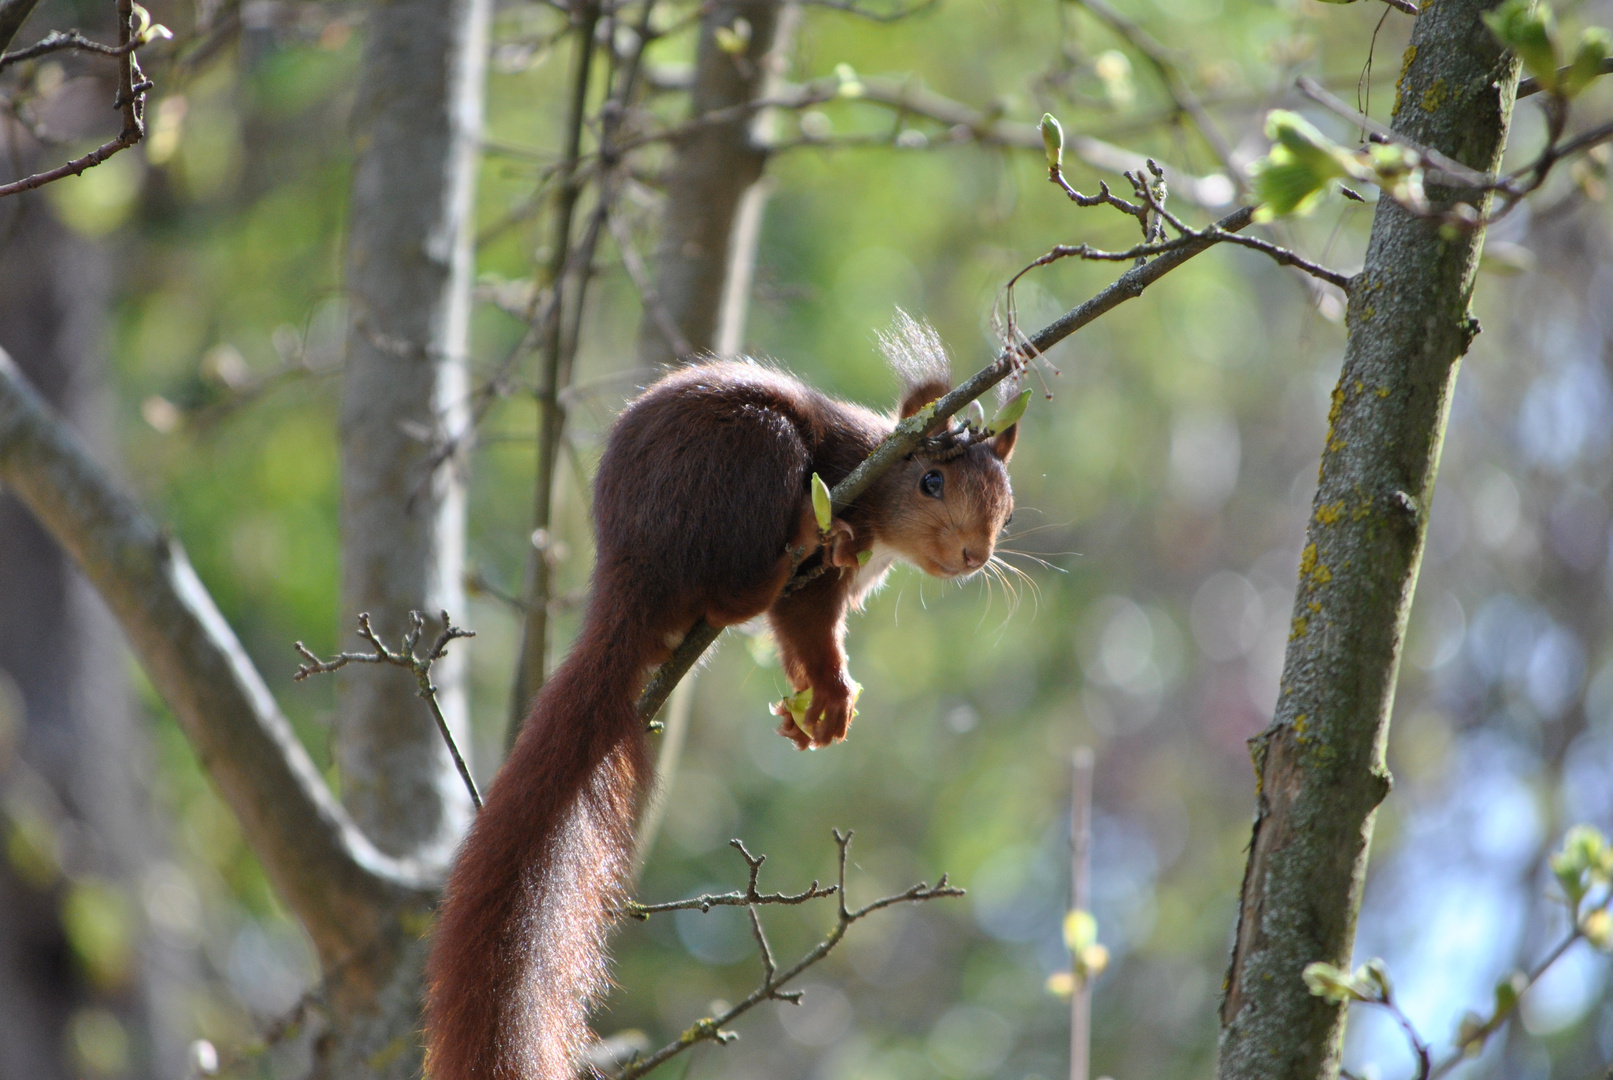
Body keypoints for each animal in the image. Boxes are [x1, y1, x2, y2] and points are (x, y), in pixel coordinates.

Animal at [422, 315, 1012, 1080]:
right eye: (931, 480)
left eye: (1007, 504)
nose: (974, 555)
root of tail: (630, 566)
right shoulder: (831, 526)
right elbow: (810, 628)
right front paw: (829, 690)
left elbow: (798, 643)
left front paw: (813, 708)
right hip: (754, 457)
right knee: (734, 594)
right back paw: (786, 547)